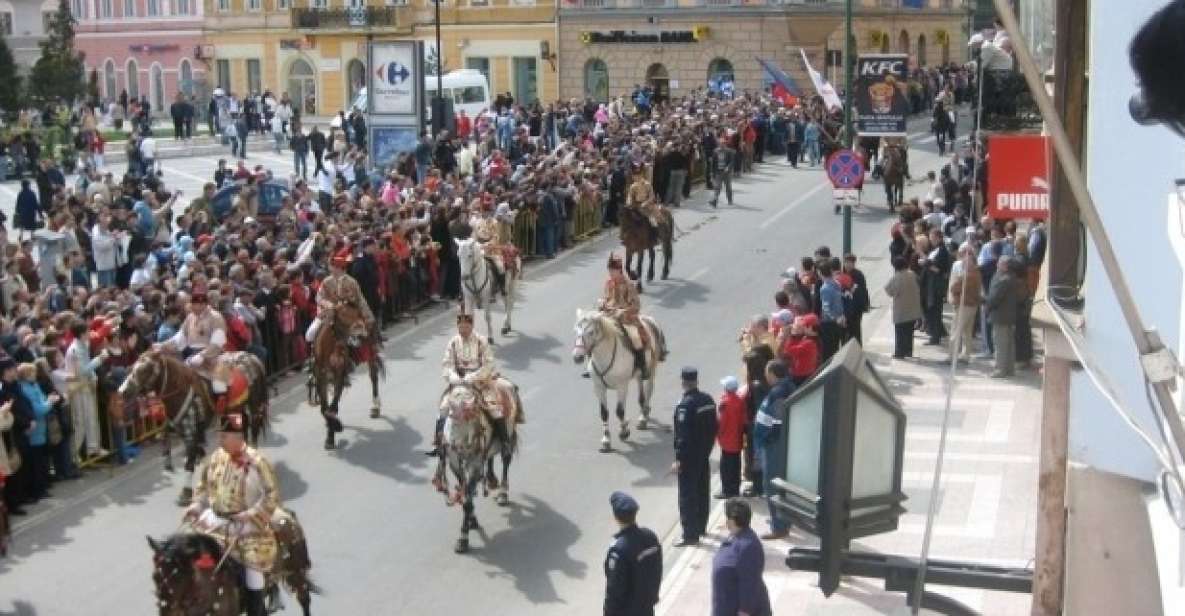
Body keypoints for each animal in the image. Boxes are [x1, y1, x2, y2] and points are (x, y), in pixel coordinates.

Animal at [120, 348, 268, 507]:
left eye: (145, 369)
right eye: (133, 367)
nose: (122, 391)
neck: (180, 391)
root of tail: (251, 357)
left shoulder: (190, 432)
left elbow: (189, 462)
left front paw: (185, 493)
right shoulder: (178, 429)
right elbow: (168, 440)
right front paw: (170, 464)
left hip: (253, 406)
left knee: (253, 431)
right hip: (237, 410)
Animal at [145, 507, 317, 611]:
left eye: (179, 578)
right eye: (154, 577)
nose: (165, 609)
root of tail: (285, 512)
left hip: (296, 572)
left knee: (304, 599)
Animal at [308, 303, 386, 452]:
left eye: (358, 314)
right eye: (343, 317)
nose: (361, 334)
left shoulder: (340, 374)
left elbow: (332, 408)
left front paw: (333, 433)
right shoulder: (321, 377)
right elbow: (324, 408)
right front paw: (332, 429)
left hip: (371, 352)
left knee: (373, 377)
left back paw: (375, 407)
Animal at [438, 383, 521, 554]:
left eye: (471, 416)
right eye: (451, 417)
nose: (459, 447)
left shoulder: (474, 464)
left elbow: (468, 500)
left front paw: (463, 539)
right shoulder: (455, 464)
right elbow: (465, 494)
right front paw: (472, 520)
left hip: (508, 434)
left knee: (505, 460)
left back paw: (503, 494)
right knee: (489, 458)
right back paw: (491, 479)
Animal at [573, 310, 668, 450]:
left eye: (591, 332)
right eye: (576, 331)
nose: (577, 356)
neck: (605, 356)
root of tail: (647, 319)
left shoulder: (622, 386)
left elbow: (619, 411)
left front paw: (624, 431)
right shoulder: (599, 387)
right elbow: (604, 413)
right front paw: (606, 440)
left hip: (652, 369)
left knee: (649, 390)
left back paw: (643, 417)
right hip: (639, 375)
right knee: (641, 395)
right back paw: (644, 412)